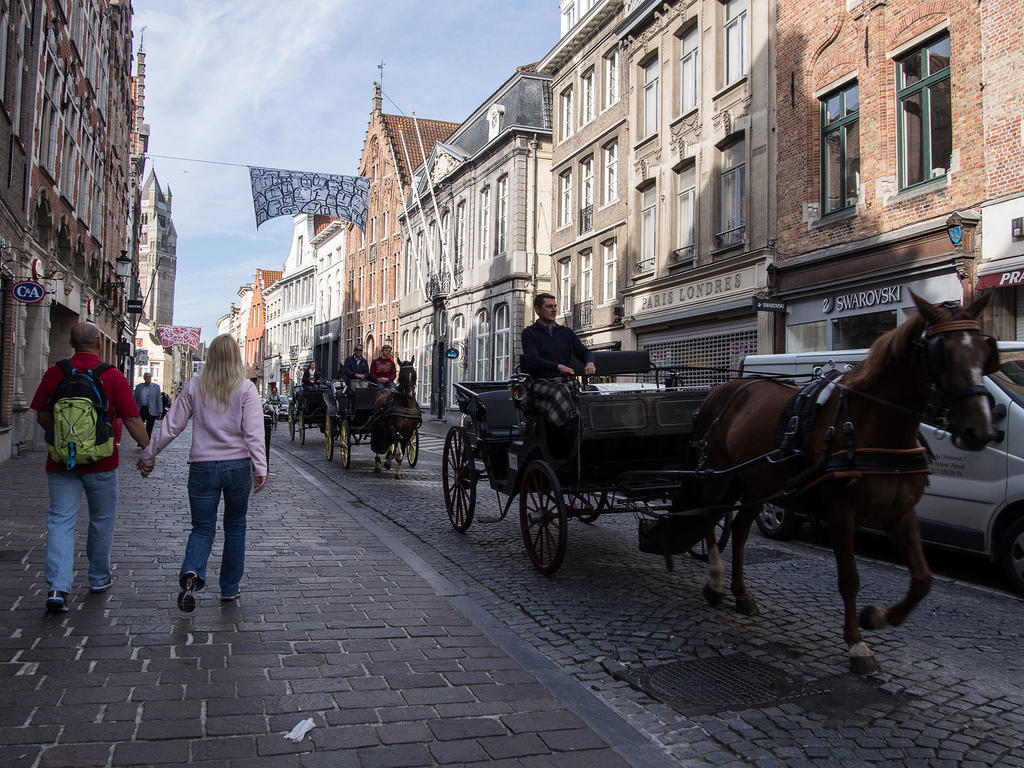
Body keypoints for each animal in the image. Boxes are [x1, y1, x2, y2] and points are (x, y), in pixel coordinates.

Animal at [688, 294, 999, 671]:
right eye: (942, 353)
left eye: (985, 351)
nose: (981, 431)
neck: (873, 424)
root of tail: (724, 387)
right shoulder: (841, 515)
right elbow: (850, 579)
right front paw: (857, 646)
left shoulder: (901, 512)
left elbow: (923, 580)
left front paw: (877, 617)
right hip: (717, 474)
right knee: (707, 518)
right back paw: (715, 585)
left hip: (755, 485)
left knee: (741, 531)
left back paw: (742, 595)